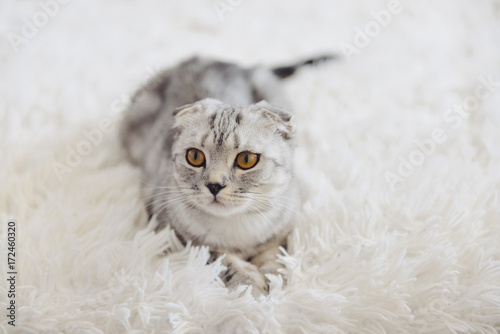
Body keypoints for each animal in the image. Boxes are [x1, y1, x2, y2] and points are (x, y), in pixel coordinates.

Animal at [119, 55, 334, 294]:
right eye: (195, 156)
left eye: (246, 159)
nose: (214, 185)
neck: (238, 228)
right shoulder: (177, 236)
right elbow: (223, 259)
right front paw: (250, 284)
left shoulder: (283, 230)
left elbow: (274, 254)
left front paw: (274, 278)